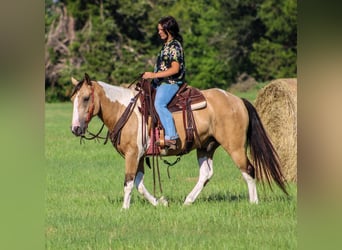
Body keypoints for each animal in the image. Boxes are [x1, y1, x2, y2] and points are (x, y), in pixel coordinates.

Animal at [69, 73, 286, 209]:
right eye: (73, 100)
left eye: (86, 98)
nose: (75, 129)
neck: (125, 110)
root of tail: (238, 100)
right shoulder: (139, 156)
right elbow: (139, 183)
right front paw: (161, 202)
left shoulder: (132, 154)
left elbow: (129, 182)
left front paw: (124, 209)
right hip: (205, 147)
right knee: (206, 174)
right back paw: (188, 201)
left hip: (235, 147)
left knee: (248, 170)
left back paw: (254, 202)